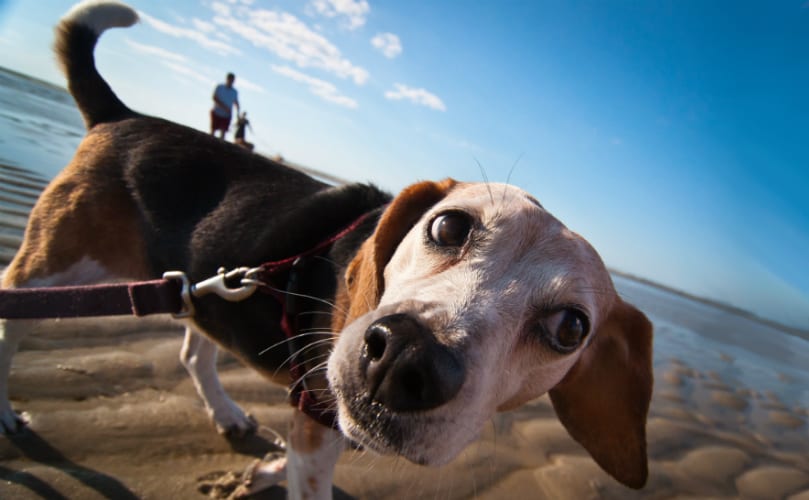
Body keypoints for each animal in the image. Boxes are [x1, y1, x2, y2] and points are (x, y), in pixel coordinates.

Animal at [0, 1, 652, 498]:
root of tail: (122, 116)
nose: (405, 357)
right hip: (52, 268)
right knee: (11, 317)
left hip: (203, 286)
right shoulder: (317, 432)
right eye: (448, 227)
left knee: (194, 350)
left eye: (570, 329)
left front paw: (264, 468)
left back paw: (227, 414)